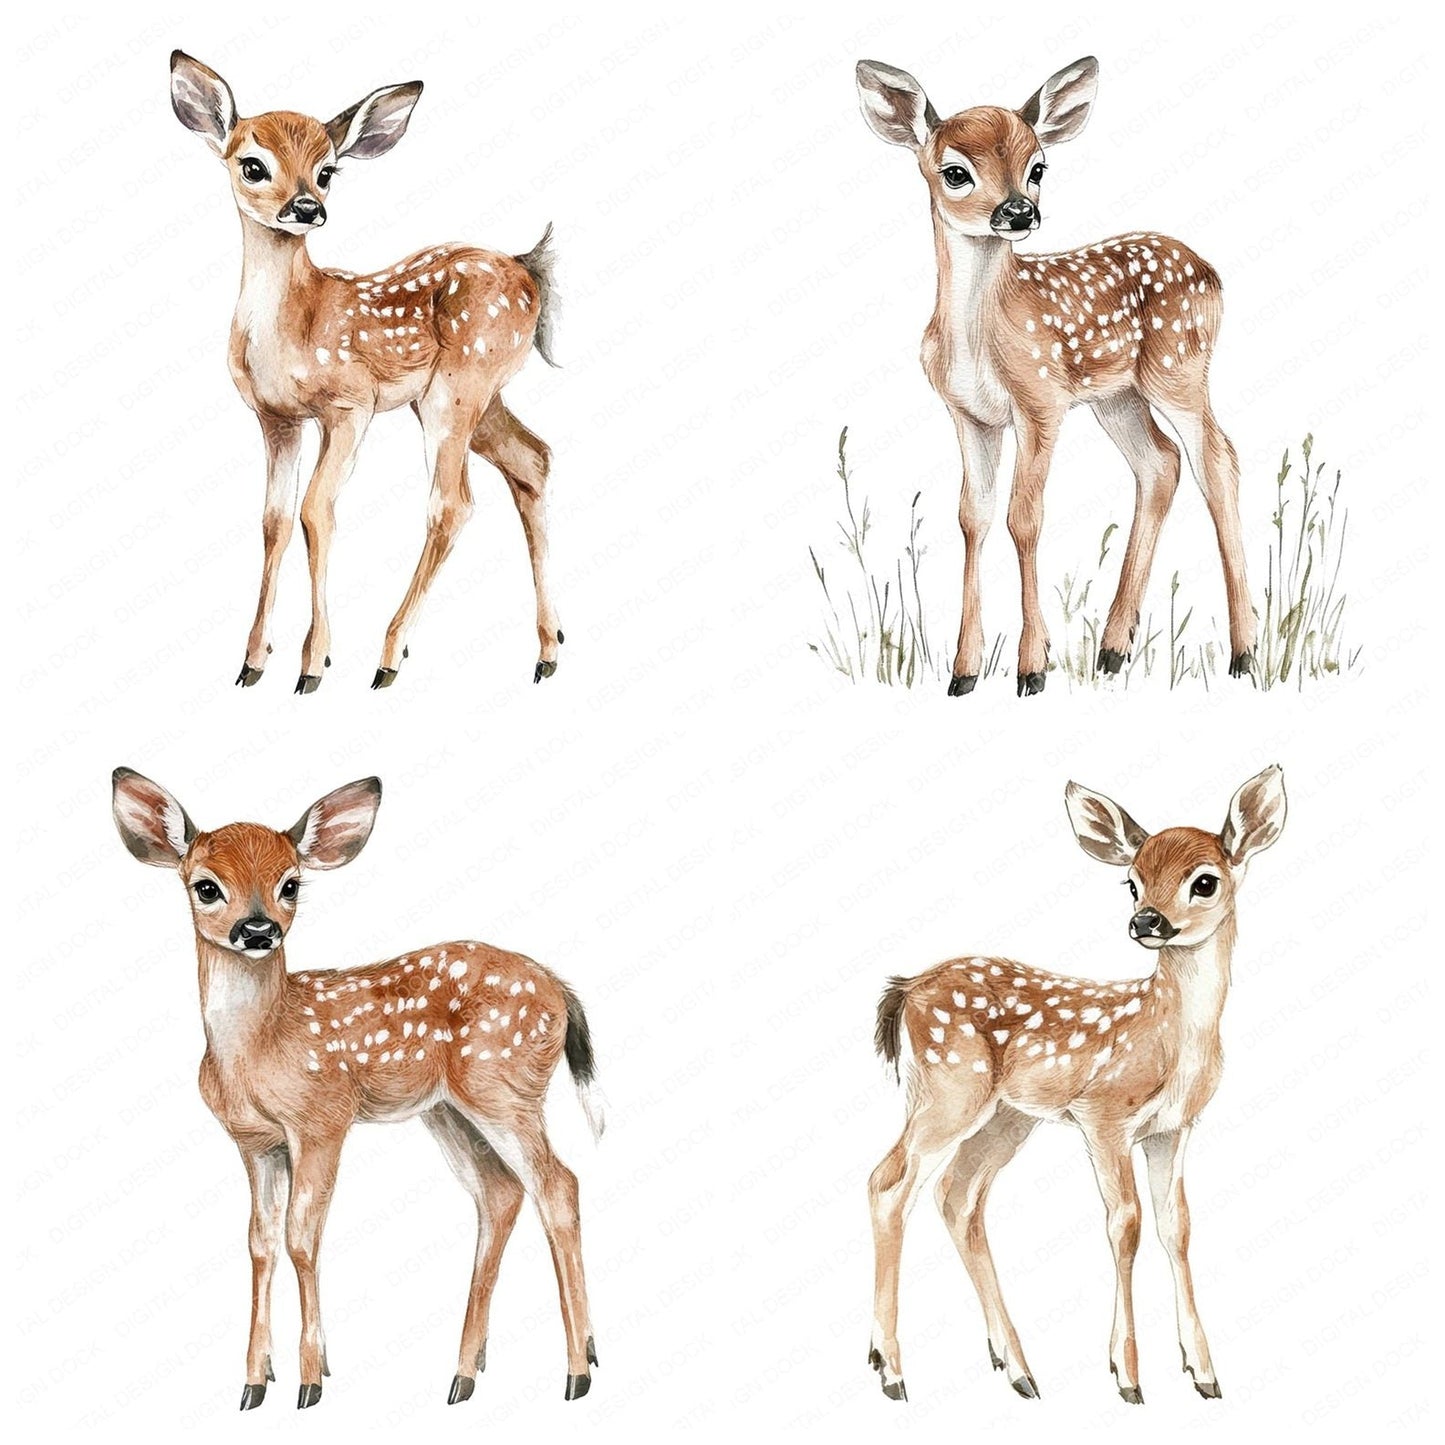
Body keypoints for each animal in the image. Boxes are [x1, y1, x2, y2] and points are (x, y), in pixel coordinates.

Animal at [111, 767, 601, 1411]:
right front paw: (254, 1382)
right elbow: (260, 1242)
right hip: (449, 1110)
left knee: (558, 1186)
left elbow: (301, 1237)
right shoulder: (255, 1142)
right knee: (501, 1194)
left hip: (505, 1088)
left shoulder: (323, 1118)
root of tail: (560, 990)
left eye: (290, 884)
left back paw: (577, 1372)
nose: (258, 930)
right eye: (206, 887)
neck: (257, 1050)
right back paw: (468, 1373)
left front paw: (311, 1380)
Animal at [169, 52, 564, 695]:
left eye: (327, 171)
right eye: (252, 165)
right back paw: (548, 650)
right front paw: (253, 660)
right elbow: (274, 520)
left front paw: (313, 663)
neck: (294, 325)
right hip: (476, 396)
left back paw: (389, 656)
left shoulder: (350, 404)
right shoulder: (276, 419)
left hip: (460, 384)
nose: (307, 208)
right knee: (533, 459)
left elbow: (315, 510)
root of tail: (530, 269)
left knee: (452, 503)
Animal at [855, 57, 1256, 697]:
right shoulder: (969, 415)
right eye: (955, 172)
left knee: (1216, 459)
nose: (1020, 212)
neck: (980, 337)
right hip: (1117, 396)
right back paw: (1113, 649)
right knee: (1160, 463)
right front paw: (964, 671)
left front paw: (1032, 666)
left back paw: (1243, 653)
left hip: (1180, 369)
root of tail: (1212, 271)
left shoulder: (1039, 400)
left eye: (1037, 167)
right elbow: (973, 517)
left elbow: (1024, 518)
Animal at [866, 766, 1286, 1403]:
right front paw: (1127, 1375)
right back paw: (890, 1370)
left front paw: (1204, 1372)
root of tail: (907, 990)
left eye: (1205, 881)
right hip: (948, 1089)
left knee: (958, 1197)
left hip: (1007, 1116)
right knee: (889, 1183)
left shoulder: (1172, 1129)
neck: (1170, 1040)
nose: (1146, 921)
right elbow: (1125, 1225)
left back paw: (1017, 1368)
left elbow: (1176, 1226)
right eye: (1132, 884)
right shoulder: (1103, 1115)